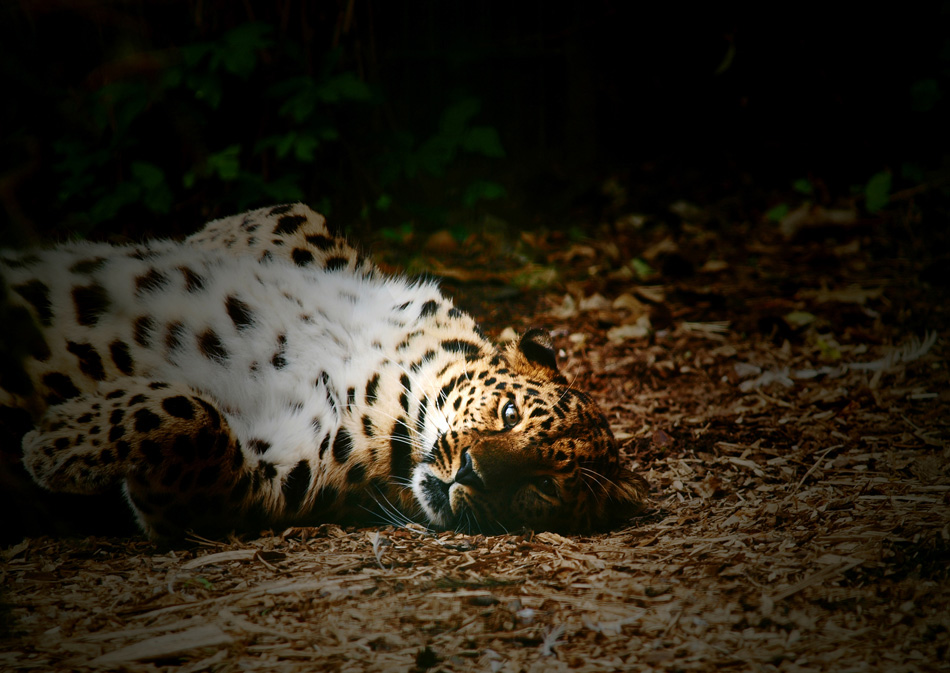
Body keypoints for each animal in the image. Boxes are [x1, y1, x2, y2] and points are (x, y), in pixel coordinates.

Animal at [0, 202, 648, 540]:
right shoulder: (292, 225)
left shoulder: (258, 485)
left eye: (543, 488)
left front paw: (58, 443)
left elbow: (199, 420)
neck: (395, 387)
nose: (473, 474)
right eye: (509, 414)